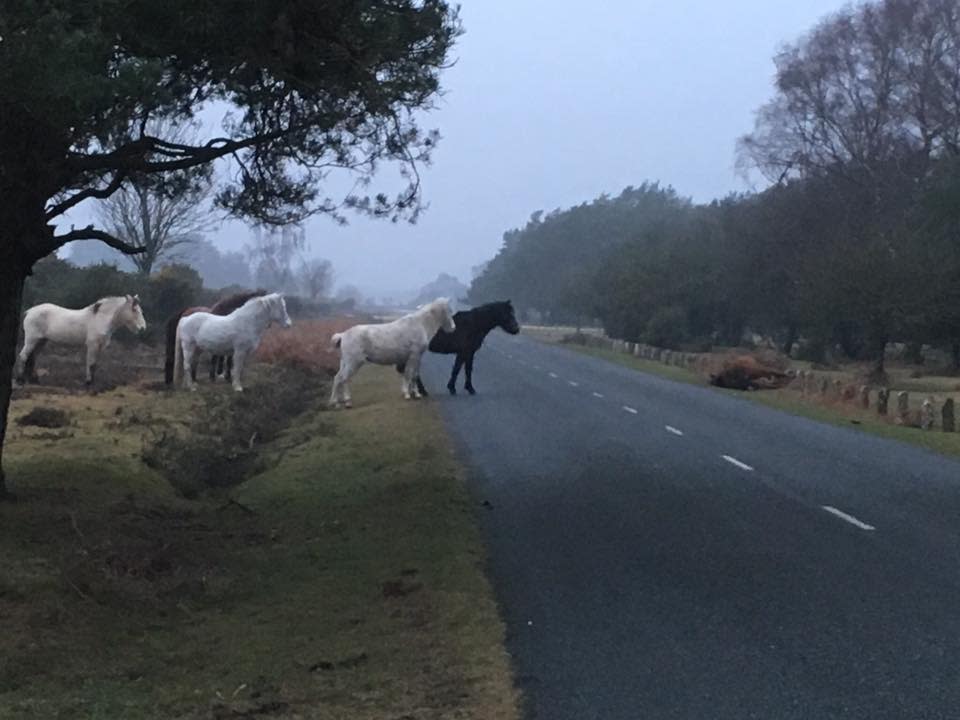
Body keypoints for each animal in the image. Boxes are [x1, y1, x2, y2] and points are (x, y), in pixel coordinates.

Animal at [15, 294, 147, 386]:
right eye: (134, 310)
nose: (142, 328)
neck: (101, 318)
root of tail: (30, 311)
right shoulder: (93, 345)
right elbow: (91, 363)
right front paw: (88, 383)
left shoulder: (99, 346)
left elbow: (95, 364)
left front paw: (92, 383)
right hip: (31, 340)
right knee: (23, 356)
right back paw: (20, 380)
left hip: (41, 341)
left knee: (32, 358)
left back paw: (33, 380)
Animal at [330, 296, 458, 408]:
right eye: (448, 310)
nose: (453, 328)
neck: (420, 324)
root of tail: (343, 335)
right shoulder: (414, 356)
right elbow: (409, 375)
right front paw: (408, 394)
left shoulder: (415, 358)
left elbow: (414, 375)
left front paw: (415, 394)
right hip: (354, 363)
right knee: (344, 379)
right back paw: (347, 402)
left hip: (345, 362)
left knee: (337, 378)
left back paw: (336, 403)